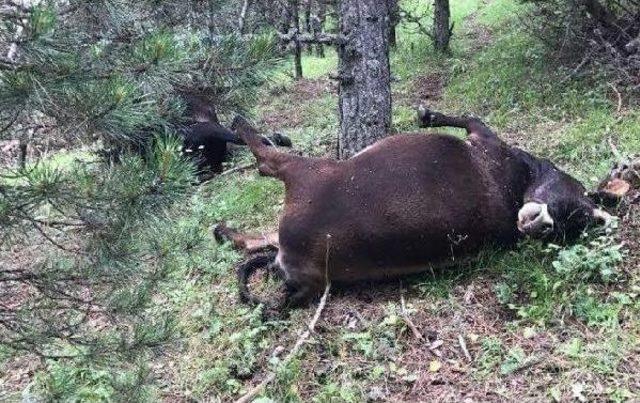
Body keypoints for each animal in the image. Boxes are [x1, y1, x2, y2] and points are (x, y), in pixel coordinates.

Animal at [216, 108, 616, 310]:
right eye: (567, 210)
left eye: (568, 225)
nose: (537, 225)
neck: (518, 179)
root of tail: (287, 259)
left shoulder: (484, 137)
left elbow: (467, 116)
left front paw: (428, 113)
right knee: (256, 238)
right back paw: (225, 230)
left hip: (303, 174)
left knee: (266, 161)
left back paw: (244, 128)